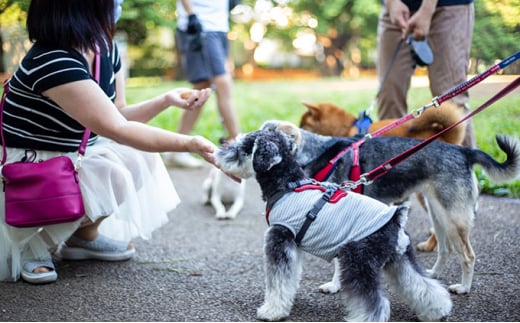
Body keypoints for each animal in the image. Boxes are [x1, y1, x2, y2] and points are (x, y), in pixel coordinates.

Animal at [215, 128, 450, 322]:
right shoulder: (292, 247)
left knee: (376, 303)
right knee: (423, 286)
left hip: (359, 263)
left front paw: (271, 311)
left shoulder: (279, 241)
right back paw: (437, 311)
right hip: (400, 259)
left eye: (244, 146)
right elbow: (289, 279)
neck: (287, 185)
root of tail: (396, 218)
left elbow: (277, 282)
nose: (220, 150)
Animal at [262, 121, 520, 296]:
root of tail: (463, 151)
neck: (317, 154)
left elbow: (336, 260)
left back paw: (464, 288)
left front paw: (334, 286)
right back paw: (433, 274)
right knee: (445, 249)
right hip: (438, 214)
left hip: (453, 219)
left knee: (468, 255)